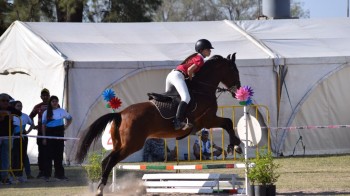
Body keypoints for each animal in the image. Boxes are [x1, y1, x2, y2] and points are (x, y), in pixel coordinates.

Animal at [75, 52, 242, 195]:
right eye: (234, 70)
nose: (238, 90)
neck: (203, 89)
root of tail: (120, 114)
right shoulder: (207, 119)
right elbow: (228, 122)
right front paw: (235, 146)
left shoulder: (207, 120)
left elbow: (227, 123)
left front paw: (235, 145)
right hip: (131, 145)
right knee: (111, 161)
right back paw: (100, 189)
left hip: (120, 144)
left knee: (105, 161)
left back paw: (101, 188)